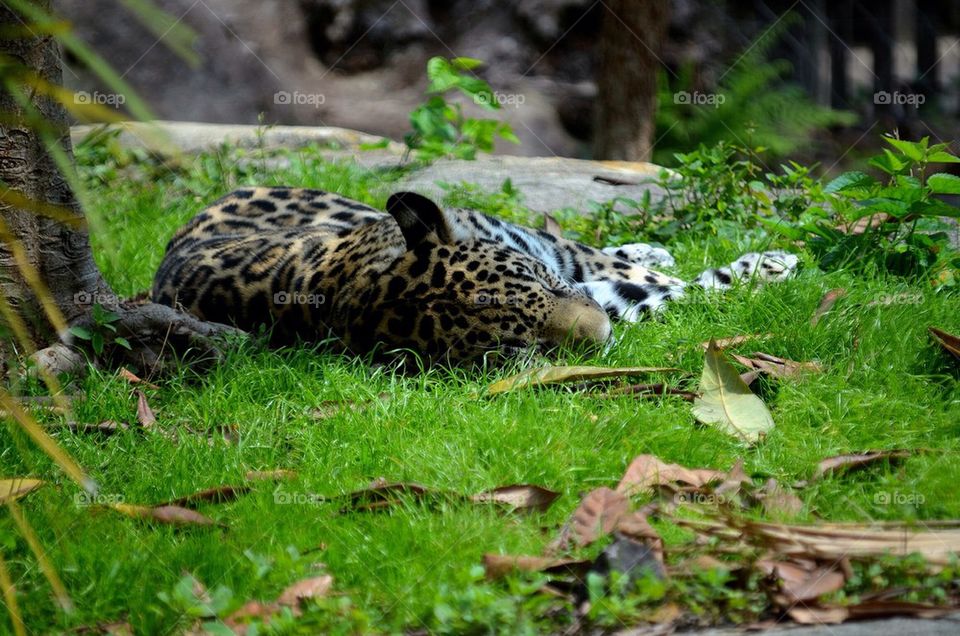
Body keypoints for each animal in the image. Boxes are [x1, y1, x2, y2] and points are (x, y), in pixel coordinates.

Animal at [152, 187, 797, 364]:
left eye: (539, 282)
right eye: (522, 347)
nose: (602, 338)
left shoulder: (556, 253)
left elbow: (603, 262)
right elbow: (690, 290)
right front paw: (771, 267)